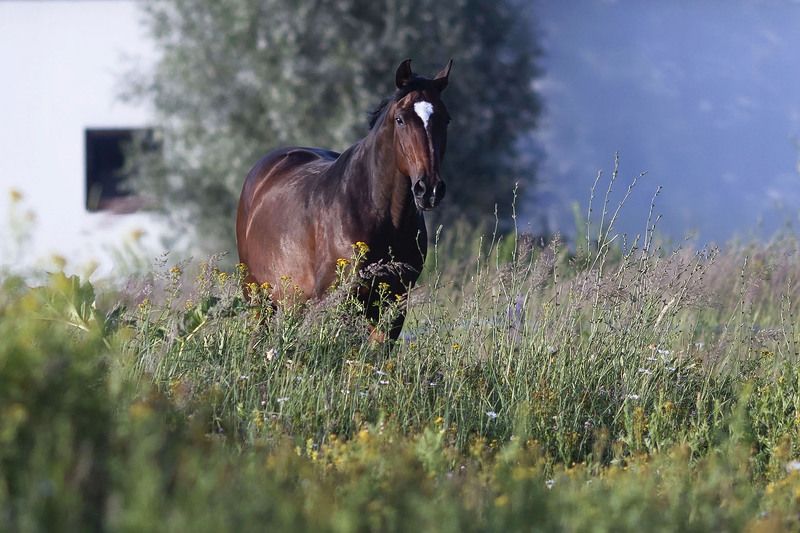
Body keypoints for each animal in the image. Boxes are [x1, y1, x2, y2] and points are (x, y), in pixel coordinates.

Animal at [235, 59, 453, 341]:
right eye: (400, 120)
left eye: (446, 119)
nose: (429, 189)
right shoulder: (341, 300)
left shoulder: (393, 305)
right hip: (258, 300)